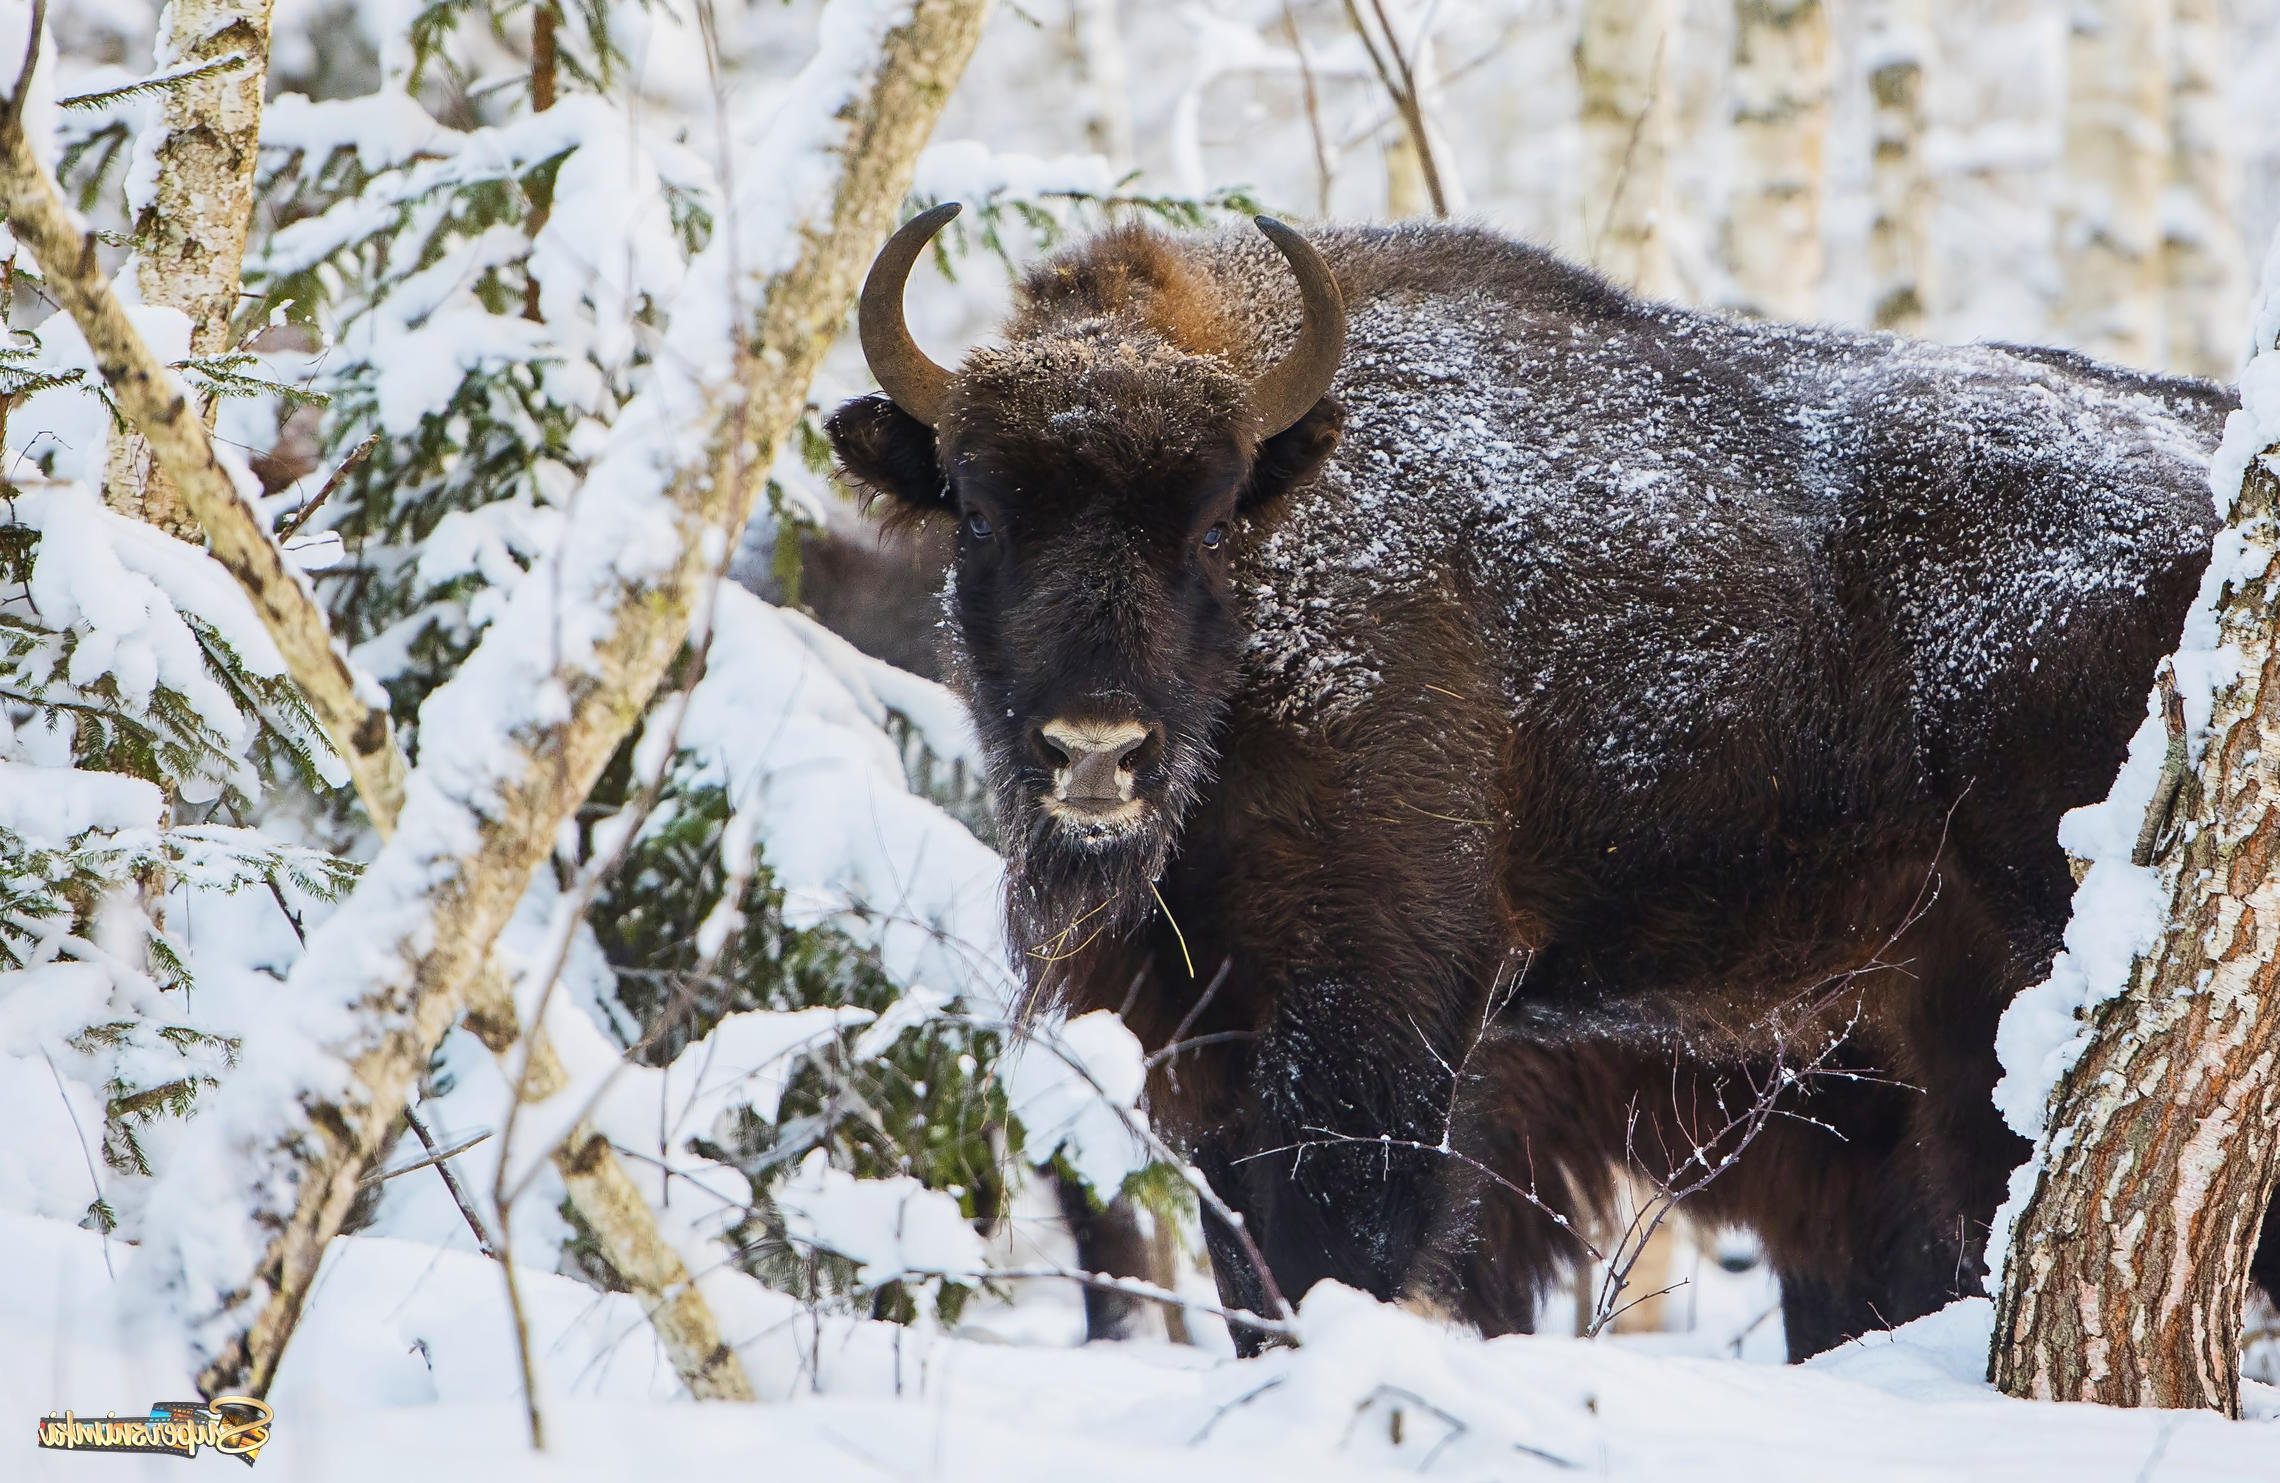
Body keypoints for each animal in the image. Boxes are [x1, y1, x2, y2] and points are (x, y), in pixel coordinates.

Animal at [816, 205, 2261, 1350]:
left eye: (1213, 519)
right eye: (981, 510)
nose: (1097, 749)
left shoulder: (1377, 1008)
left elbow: (1343, 1244)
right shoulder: (1206, 1035)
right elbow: (1247, 1265)